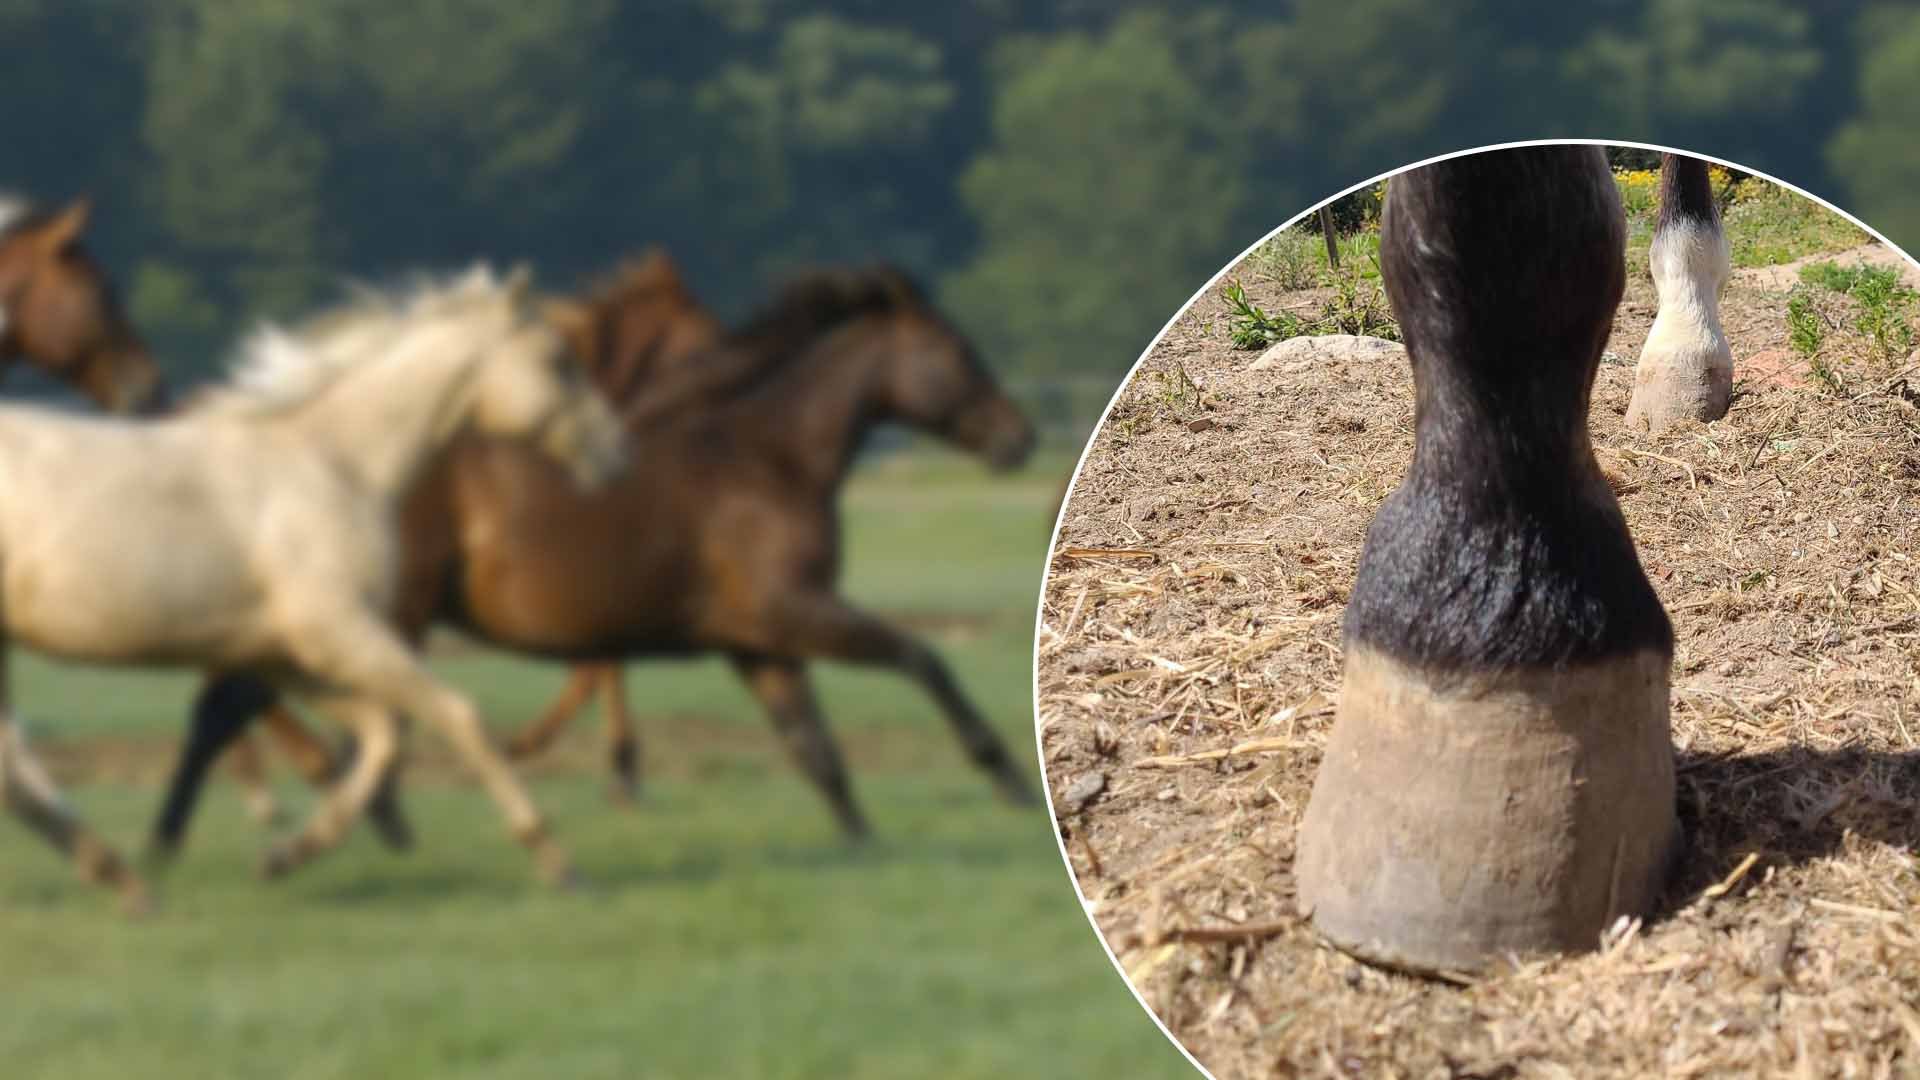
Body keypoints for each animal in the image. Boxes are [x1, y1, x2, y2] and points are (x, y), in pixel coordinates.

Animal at [0, 267, 627, 911]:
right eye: (558, 360)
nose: (615, 449)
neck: (337, 467)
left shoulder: (283, 653)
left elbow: (379, 734)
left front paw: (287, 855)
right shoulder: (340, 634)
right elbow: (459, 717)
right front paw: (560, 864)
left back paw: (122, 877)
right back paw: (123, 877)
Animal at [150, 264, 1038, 857]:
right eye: (957, 352)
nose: (1017, 439)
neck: (766, 456)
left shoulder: (757, 643)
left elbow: (813, 749)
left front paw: (863, 844)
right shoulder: (794, 611)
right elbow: (920, 659)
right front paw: (1009, 779)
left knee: (242, 707)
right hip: (358, 621)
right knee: (242, 705)